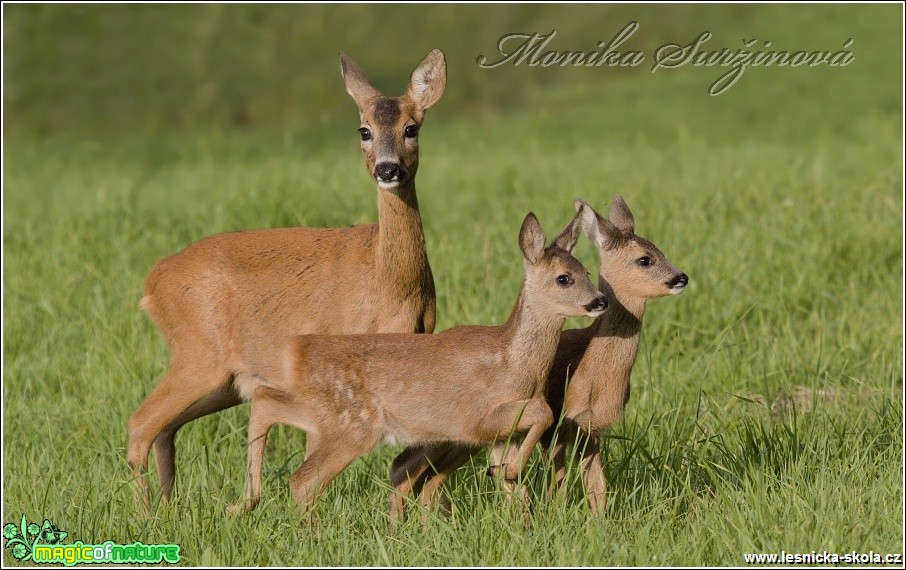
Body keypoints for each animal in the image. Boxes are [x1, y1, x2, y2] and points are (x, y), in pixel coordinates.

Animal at [129, 48, 446, 508]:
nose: (388, 169)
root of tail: (153, 282)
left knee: (164, 428)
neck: (391, 285)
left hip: (222, 379)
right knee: (141, 422)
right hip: (198, 354)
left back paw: (169, 507)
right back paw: (146, 514)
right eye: (364, 130)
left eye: (411, 128)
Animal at [388, 196, 684, 520]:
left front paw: (599, 524)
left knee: (423, 475)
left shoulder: (591, 430)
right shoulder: (558, 427)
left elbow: (597, 487)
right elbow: (557, 485)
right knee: (407, 468)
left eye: (661, 250)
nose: (681, 277)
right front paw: (555, 515)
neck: (595, 374)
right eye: (645, 259)